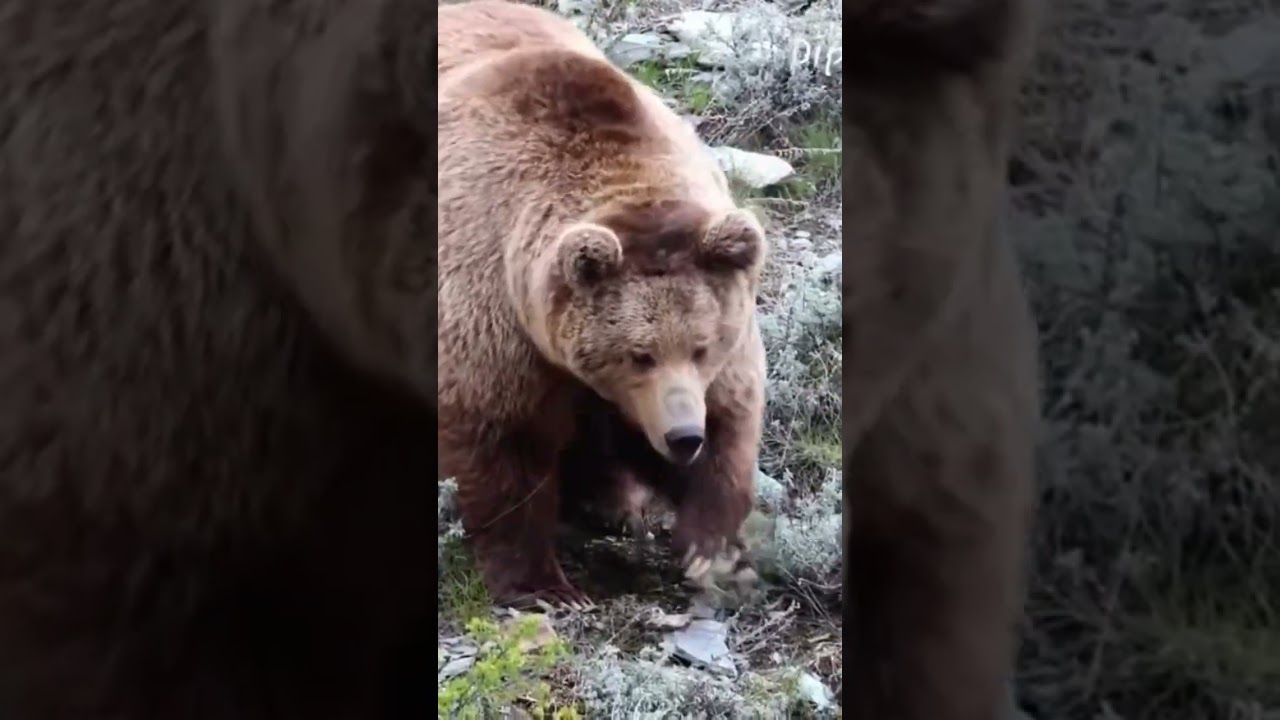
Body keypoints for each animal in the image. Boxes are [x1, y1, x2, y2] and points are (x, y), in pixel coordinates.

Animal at [437, 0, 768, 609]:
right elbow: (506, 444)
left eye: (702, 347)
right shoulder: (494, 311)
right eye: (640, 354)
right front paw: (543, 584)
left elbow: (730, 420)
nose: (682, 436)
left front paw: (709, 550)